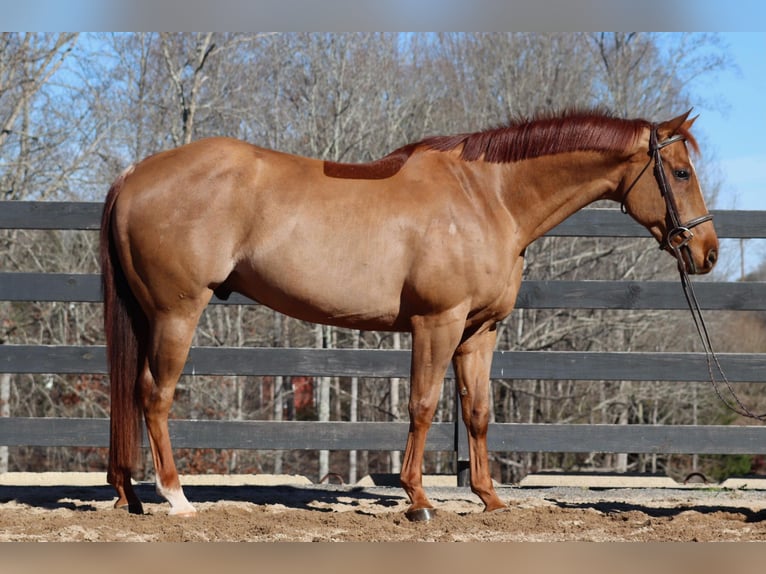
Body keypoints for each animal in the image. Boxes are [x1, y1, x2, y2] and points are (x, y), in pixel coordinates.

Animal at [100, 108, 720, 520]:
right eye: (681, 173)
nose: (708, 253)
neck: (488, 197)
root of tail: (134, 175)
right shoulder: (436, 322)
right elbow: (423, 406)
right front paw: (418, 499)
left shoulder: (479, 332)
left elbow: (477, 413)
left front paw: (489, 497)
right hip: (177, 313)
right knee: (155, 394)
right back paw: (176, 497)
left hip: (150, 315)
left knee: (131, 393)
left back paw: (130, 495)